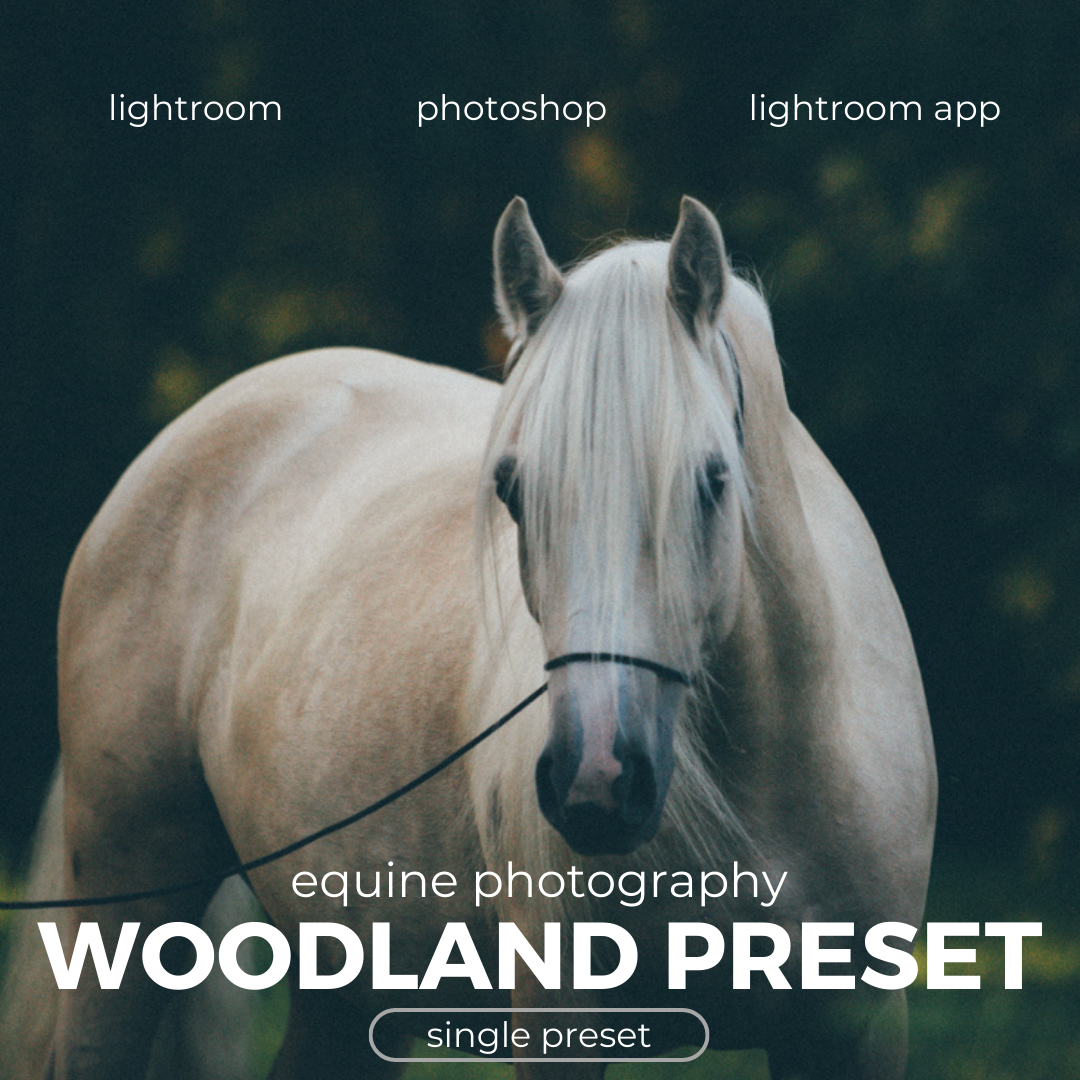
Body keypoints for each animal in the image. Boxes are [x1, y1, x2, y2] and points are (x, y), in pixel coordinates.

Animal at [0, 196, 936, 1079]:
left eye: (711, 481)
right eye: (514, 490)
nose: (597, 781)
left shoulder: (859, 1035)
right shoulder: (560, 1020)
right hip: (126, 898)